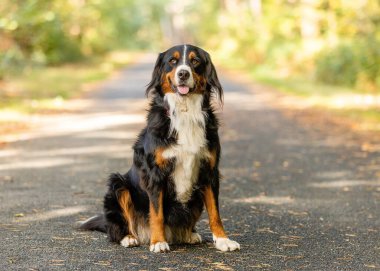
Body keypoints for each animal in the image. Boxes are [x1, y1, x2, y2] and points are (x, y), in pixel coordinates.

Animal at [80, 44, 240, 253]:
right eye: (172, 61)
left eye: (195, 61)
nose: (183, 73)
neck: (185, 112)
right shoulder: (155, 174)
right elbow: (156, 213)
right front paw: (158, 242)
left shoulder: (209, 170)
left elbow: (215, 212)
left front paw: (223, 240)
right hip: (118, 185)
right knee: (116, 228)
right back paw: (129, 238)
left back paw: (189, 234)